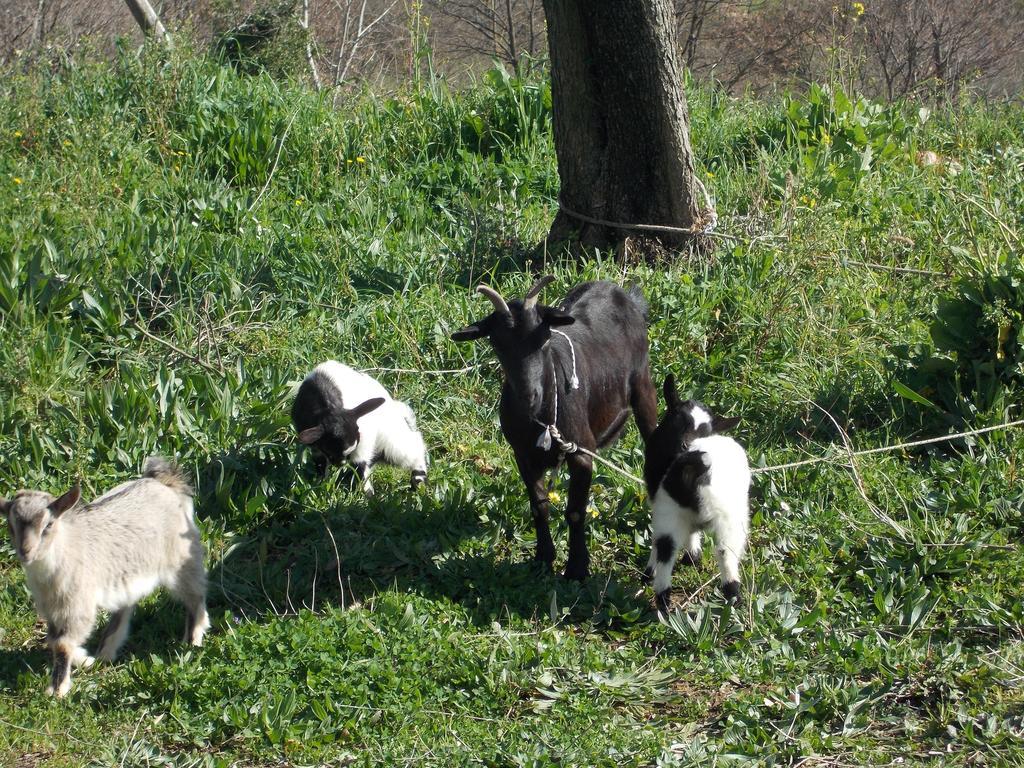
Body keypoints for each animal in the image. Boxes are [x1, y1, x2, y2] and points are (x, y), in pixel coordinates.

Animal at [0, 460, 209, 700]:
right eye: (10, 526)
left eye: (48, 525)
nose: (25, 552)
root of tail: (163, 483)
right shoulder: (51, 609)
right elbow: (54, 640)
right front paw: (85, 660)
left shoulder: (77, 605)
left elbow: (62, 644)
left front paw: (58, 690)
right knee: (126, 606)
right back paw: (106, 652)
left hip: (182, 560)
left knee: (195, 595)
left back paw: (192, 641)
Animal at [292, 360, 428, 493]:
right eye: (330, 453)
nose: (341, 464)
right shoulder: (316, 445)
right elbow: (320, 463)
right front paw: (319, 486)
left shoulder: (363, 436)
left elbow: (360, 464)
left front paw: (367, 494)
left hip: (391, 437)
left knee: (412, 446)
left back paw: (418, 480)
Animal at [452, 274, 659, 581]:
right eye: (497, 344)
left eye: (544, 337)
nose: (529, 396)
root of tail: (624, 295)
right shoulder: (522, 455)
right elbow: (539, 507)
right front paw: (543, 557)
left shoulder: (581, 451)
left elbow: (574, 512)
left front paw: (576, 568)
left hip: (644, 387)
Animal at [638, 376, 753, 610]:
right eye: (678, 421)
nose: (684, 444)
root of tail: (697, 466)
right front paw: (693, 558)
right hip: (728, 518)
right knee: (725, 551)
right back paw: (733, 598)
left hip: (670, 509)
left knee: (666, 547)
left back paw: (663, 602)